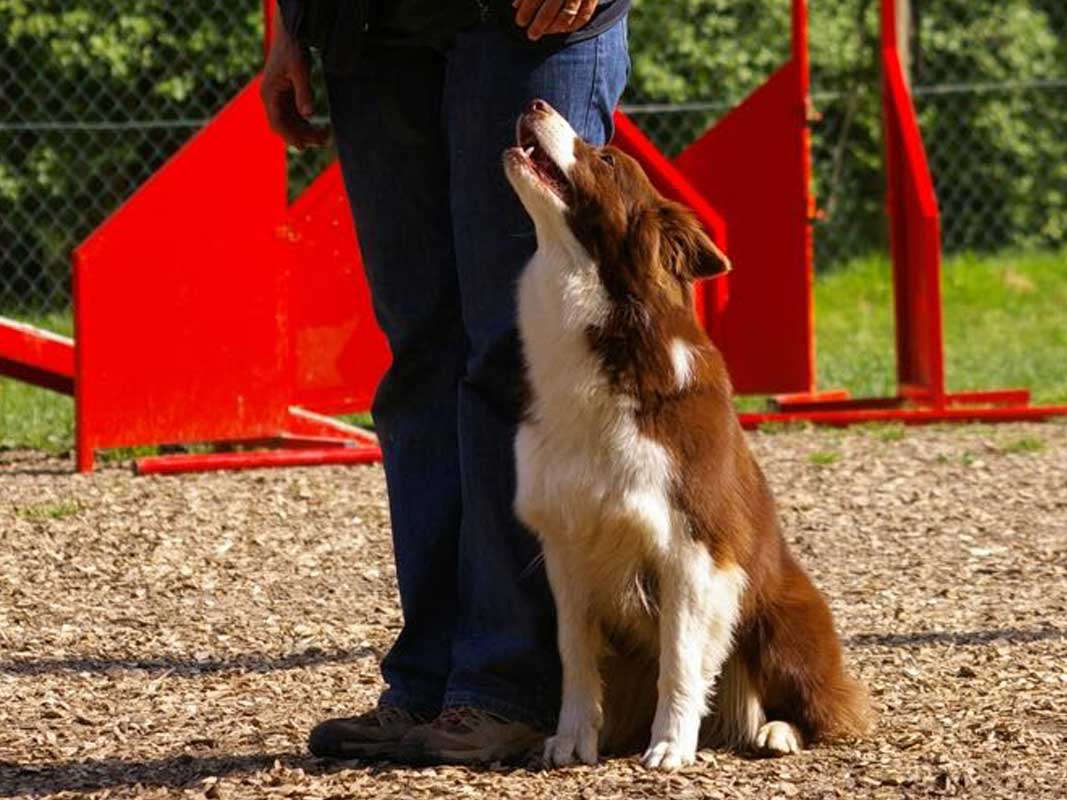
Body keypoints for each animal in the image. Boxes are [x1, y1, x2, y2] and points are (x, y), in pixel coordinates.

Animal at [503, 100, 870, 772]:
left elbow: (680, 657)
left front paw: (672, 744)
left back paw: (775, 731)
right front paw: (572, 740)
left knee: (826, 706)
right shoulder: (567, 544)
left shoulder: (692, 547)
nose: (537, 104)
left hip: (784, 620)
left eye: (606, 159)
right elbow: (574, 656)